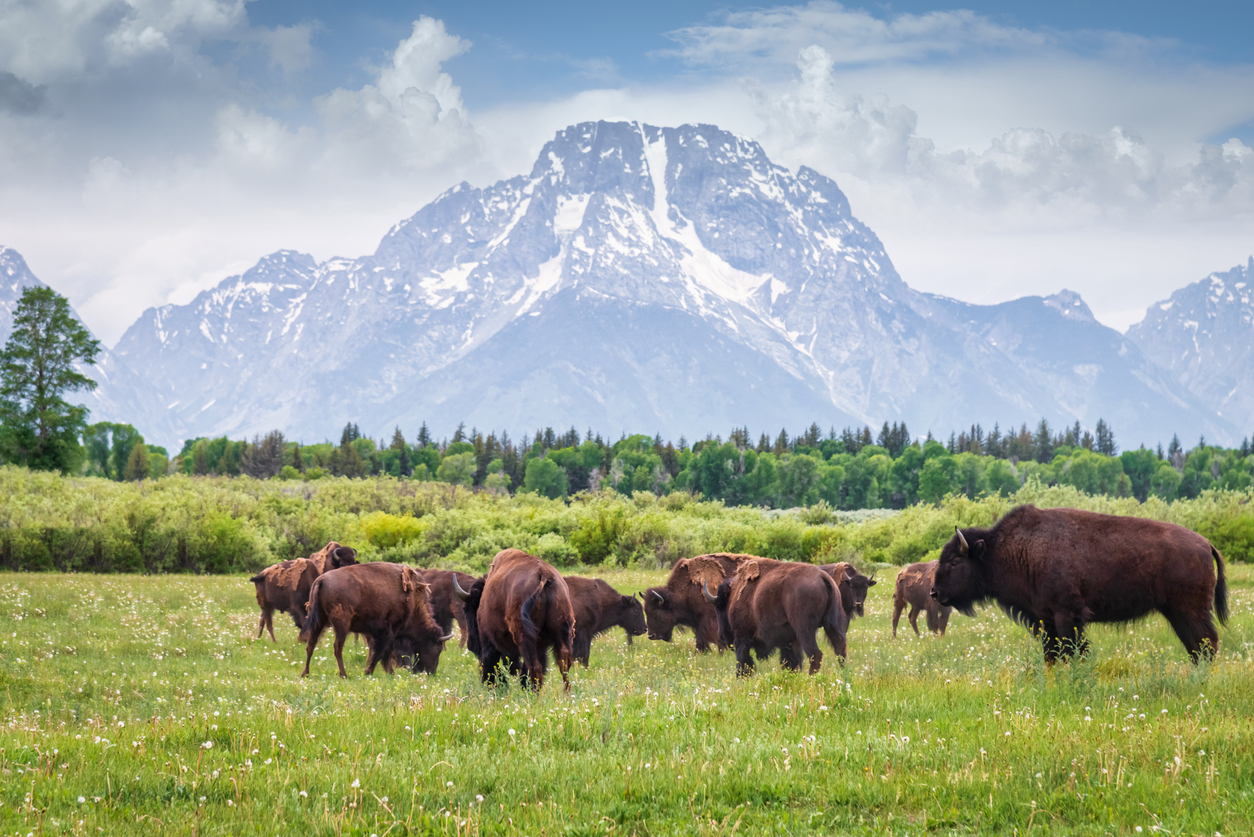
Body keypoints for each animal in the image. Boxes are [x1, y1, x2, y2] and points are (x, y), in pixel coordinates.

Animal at [300, 562, 453, 678]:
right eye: (438, 650)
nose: (430, 672)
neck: (413, 601)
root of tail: (320, 580)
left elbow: (380, 651)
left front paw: (383, 671)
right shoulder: (392, 629)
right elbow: (384, 650)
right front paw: (374, 671)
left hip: (319, 621)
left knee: (310, 645)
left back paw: (305, 673)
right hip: (341, 625)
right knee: (337, 647)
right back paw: (343, 675)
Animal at [453, 549, 575, 691]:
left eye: (467, 609)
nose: (470, 645)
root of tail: (544, 574)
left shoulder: (489, 640)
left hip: (523, 637)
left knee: (534, 667)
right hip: (562, 630)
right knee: (564, 663)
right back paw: (566, 693)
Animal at [703, 556, 847, 675]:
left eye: (719, 607)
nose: (721, 636)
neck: (734, 594)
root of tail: (823, 576)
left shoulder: (742, 637)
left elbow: (743, 661)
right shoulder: (789, 641)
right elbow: (791, 661)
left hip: (805, 631)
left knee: (815, 654)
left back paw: (812, 677)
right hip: (832, 624)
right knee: (840, 649)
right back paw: (843, 673)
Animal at [931, 505, 1228, 663]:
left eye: (955, 562)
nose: (934, 592)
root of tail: (1206, 544)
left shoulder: (1067, 616)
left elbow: (1073, 651)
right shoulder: (1046, 620)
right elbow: (1052, 655)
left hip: (1190, 611)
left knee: (1206, 643)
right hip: (1177, 613)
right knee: (1197, 647)